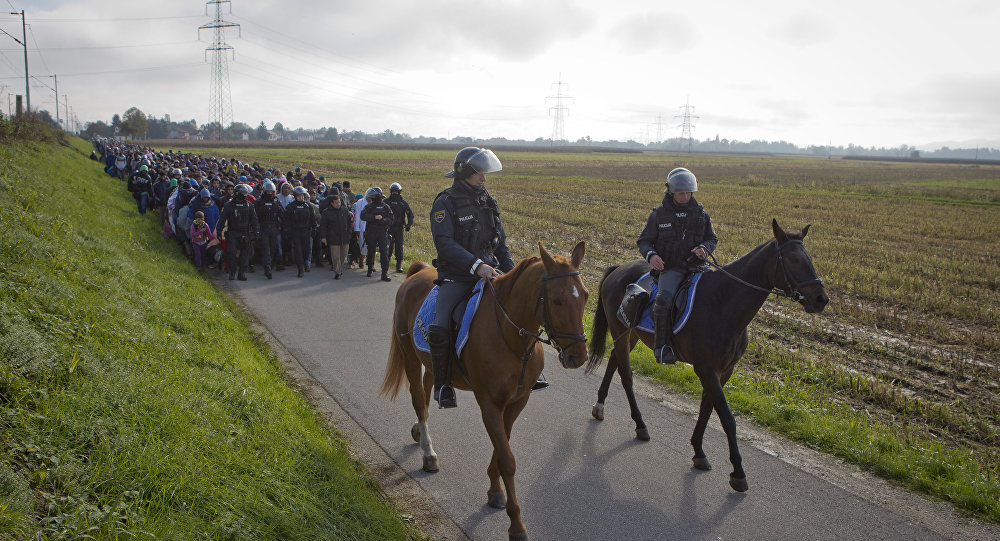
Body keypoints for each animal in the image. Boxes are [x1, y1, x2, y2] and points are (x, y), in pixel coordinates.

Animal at [380, 242, 584, 540]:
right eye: (557, 300)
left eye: (586, 297)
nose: (578, 356)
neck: (510, 335)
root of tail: (417, 272)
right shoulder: (489, 403)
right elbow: (507, 458)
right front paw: (516, 526)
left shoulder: (517, 401)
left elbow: (502, 448)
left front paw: (495, 491)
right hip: (409, 357)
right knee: (419, 399)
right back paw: (429, 453)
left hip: (429, 361)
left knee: (429, 392)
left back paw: (420, 430)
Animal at [584, 219, 828, 490]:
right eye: (793, 259)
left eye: (809, 258)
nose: (821, 299)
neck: (724, 303)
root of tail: (618, 269)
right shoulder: (706, 369)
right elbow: (727, 418)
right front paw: (738, 472)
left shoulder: (723, 372)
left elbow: (707, 410)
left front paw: (698, 452)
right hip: (621, 330)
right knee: (626, 375)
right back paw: (640, 424)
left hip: (633, 335)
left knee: (614, 360)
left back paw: (600, 405)